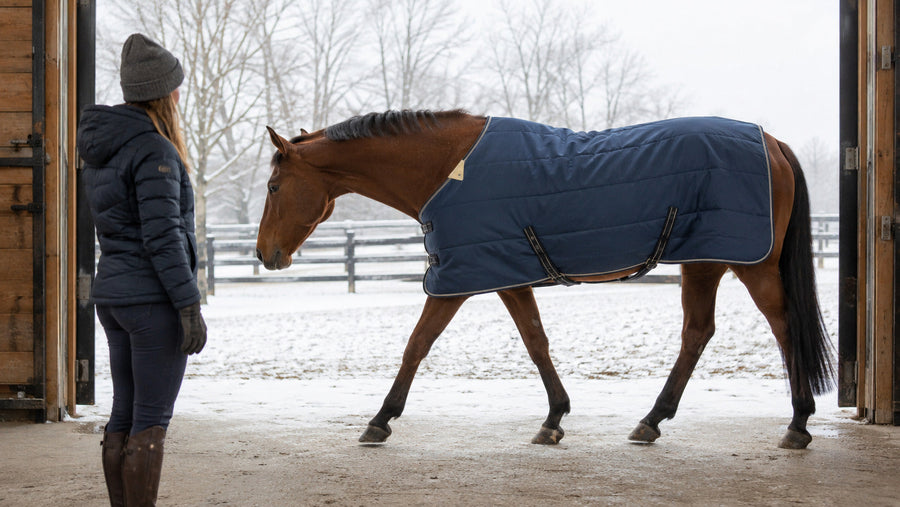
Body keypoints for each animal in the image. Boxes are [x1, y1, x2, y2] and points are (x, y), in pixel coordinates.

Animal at [255, 110, 833, 450]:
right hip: (705, 261)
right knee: (698, 333)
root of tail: (771, 140)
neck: (450, 167)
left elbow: (417, 344)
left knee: (784, 329)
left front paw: (381, 418)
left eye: (274, 186)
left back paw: (798, 424)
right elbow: (535, 341)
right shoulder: (506, 275)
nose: (265, 254)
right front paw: (555, 417)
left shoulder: (459, 279)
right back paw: (652, 420)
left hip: (747, 263)